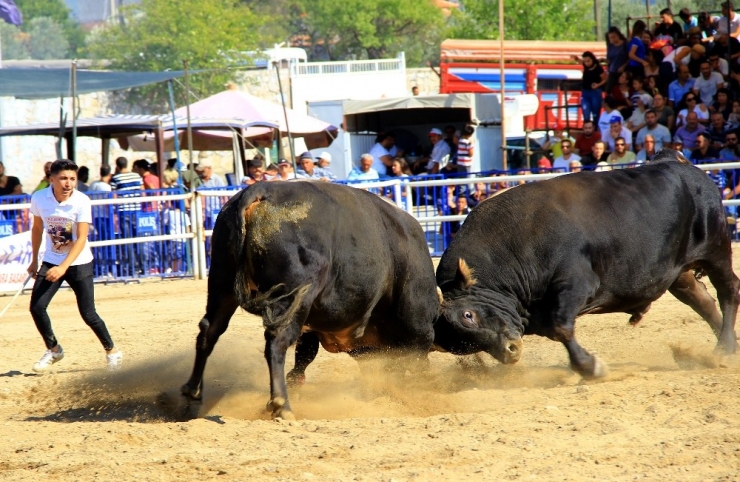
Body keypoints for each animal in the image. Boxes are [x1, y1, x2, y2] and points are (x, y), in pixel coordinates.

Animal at [181, 181, 440, 418]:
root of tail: (259, 191)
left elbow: (304, 358)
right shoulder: (417, 332)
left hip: (222, 283)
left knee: (210, 330)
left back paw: (192, 392)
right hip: (291, 296)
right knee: (276, 341)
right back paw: (282, 405)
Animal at [436, 158, 736, 376]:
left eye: (468, 315)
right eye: (464, 345)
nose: (511, 351)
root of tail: (682, 164)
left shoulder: (577, 285)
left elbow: (561, 327)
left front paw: (591, 367)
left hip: (716, 249)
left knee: (729, 291)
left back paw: (725, 348)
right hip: (679, 273)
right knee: (702, 300)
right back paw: (728, 345)